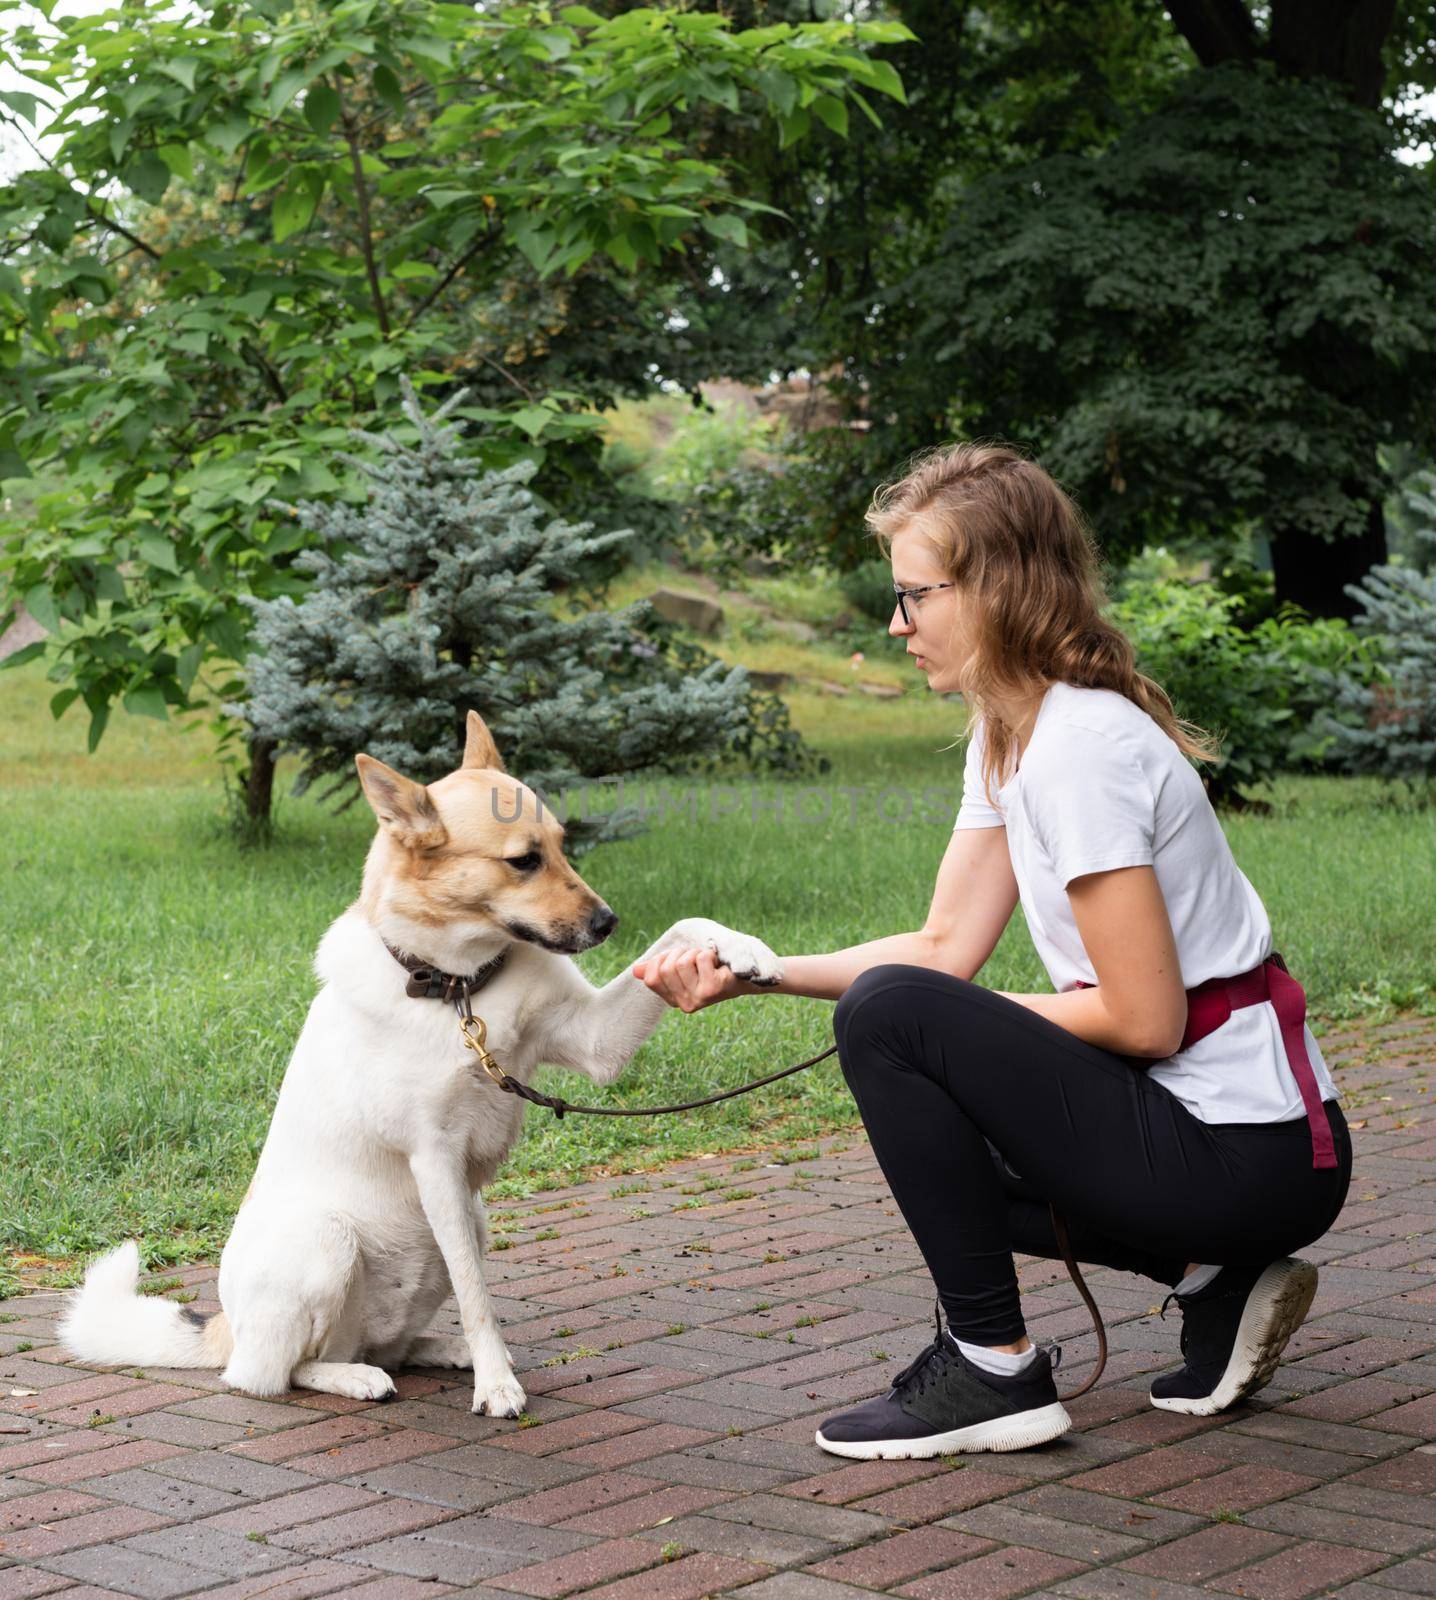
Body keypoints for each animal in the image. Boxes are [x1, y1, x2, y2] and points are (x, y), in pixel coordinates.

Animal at [61, 710, 783, 1414]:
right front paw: (496, 1386)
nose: (607, 923)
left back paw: (436, 1352)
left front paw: (748, 951)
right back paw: (356, 1378)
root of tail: (226, 1329)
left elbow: (686, 925)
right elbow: (477, 1296)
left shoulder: (592, 1043)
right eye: (523, 861)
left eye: (563, 844)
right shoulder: (435, 1158)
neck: (461, 989)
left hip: (468, 1221)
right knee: (269, 1375)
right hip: (329, 1241)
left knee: (390, 1349)